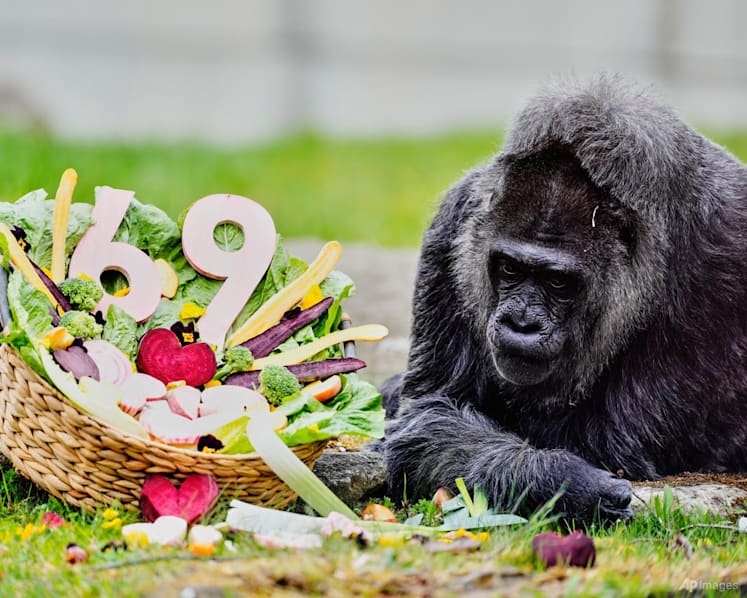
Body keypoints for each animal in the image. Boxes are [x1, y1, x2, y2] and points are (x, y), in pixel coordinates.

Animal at [381, 76, 747, 523]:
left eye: (558, 282)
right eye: (510, 269)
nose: (521, 323)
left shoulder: (725, 258)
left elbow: (612, 443)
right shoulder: (454, 222)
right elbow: (433, 410)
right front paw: (563, 481)